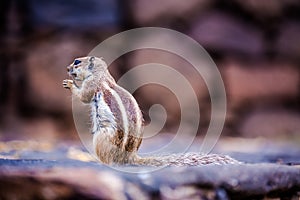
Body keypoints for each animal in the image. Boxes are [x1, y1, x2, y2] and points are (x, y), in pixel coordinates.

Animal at [62, 56, 240, 166]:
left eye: (77, 62)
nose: (67, 68)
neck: (101, 74)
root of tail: (129, 158)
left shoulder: (92, 85)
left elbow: (84, 96)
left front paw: (69, 84)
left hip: (100, 137)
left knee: (108, 160)